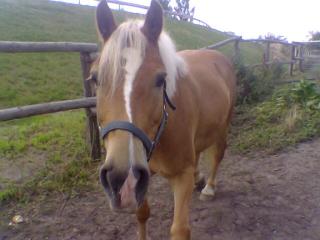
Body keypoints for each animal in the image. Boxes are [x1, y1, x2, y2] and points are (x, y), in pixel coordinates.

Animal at [94, 0, 236, 239]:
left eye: (161, 79)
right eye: (95, 78)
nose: (121, 179)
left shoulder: (180, 177)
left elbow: (179, 229)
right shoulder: (143, 177)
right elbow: (142, 214)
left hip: (223, 126)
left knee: (218, 154)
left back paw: (209, 188)